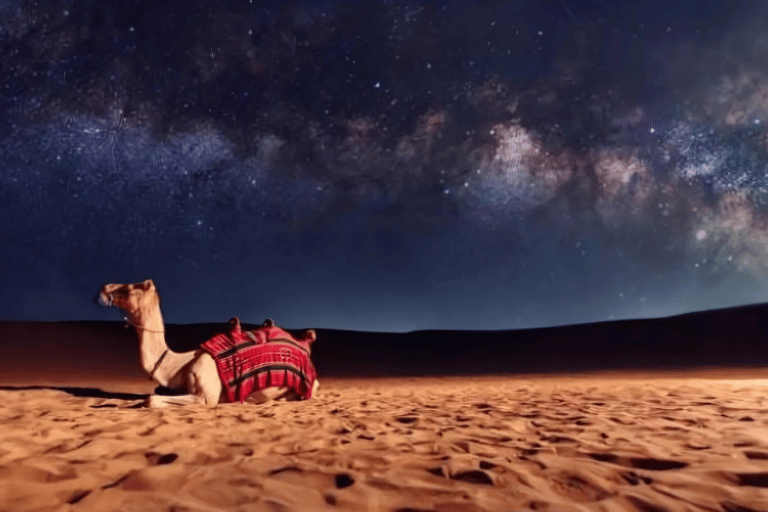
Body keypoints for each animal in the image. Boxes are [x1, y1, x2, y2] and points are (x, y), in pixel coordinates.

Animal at [97, 280, 320, 408]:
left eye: (128, 288)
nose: (103, 288)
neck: (179, 365)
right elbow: (150, 394)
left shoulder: (207, 397)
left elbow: (151, 399)